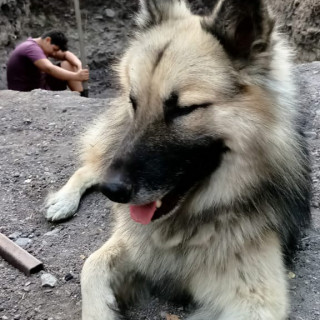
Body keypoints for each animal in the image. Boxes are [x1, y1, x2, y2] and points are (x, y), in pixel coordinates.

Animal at [44, 1, 310, 318]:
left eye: (183, 109)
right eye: (134, 101)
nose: (113, 191)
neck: (194, 220)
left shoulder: (259, 298)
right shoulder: (134, 241)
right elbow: (91, 267)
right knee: (90, 167)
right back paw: (63, 200)